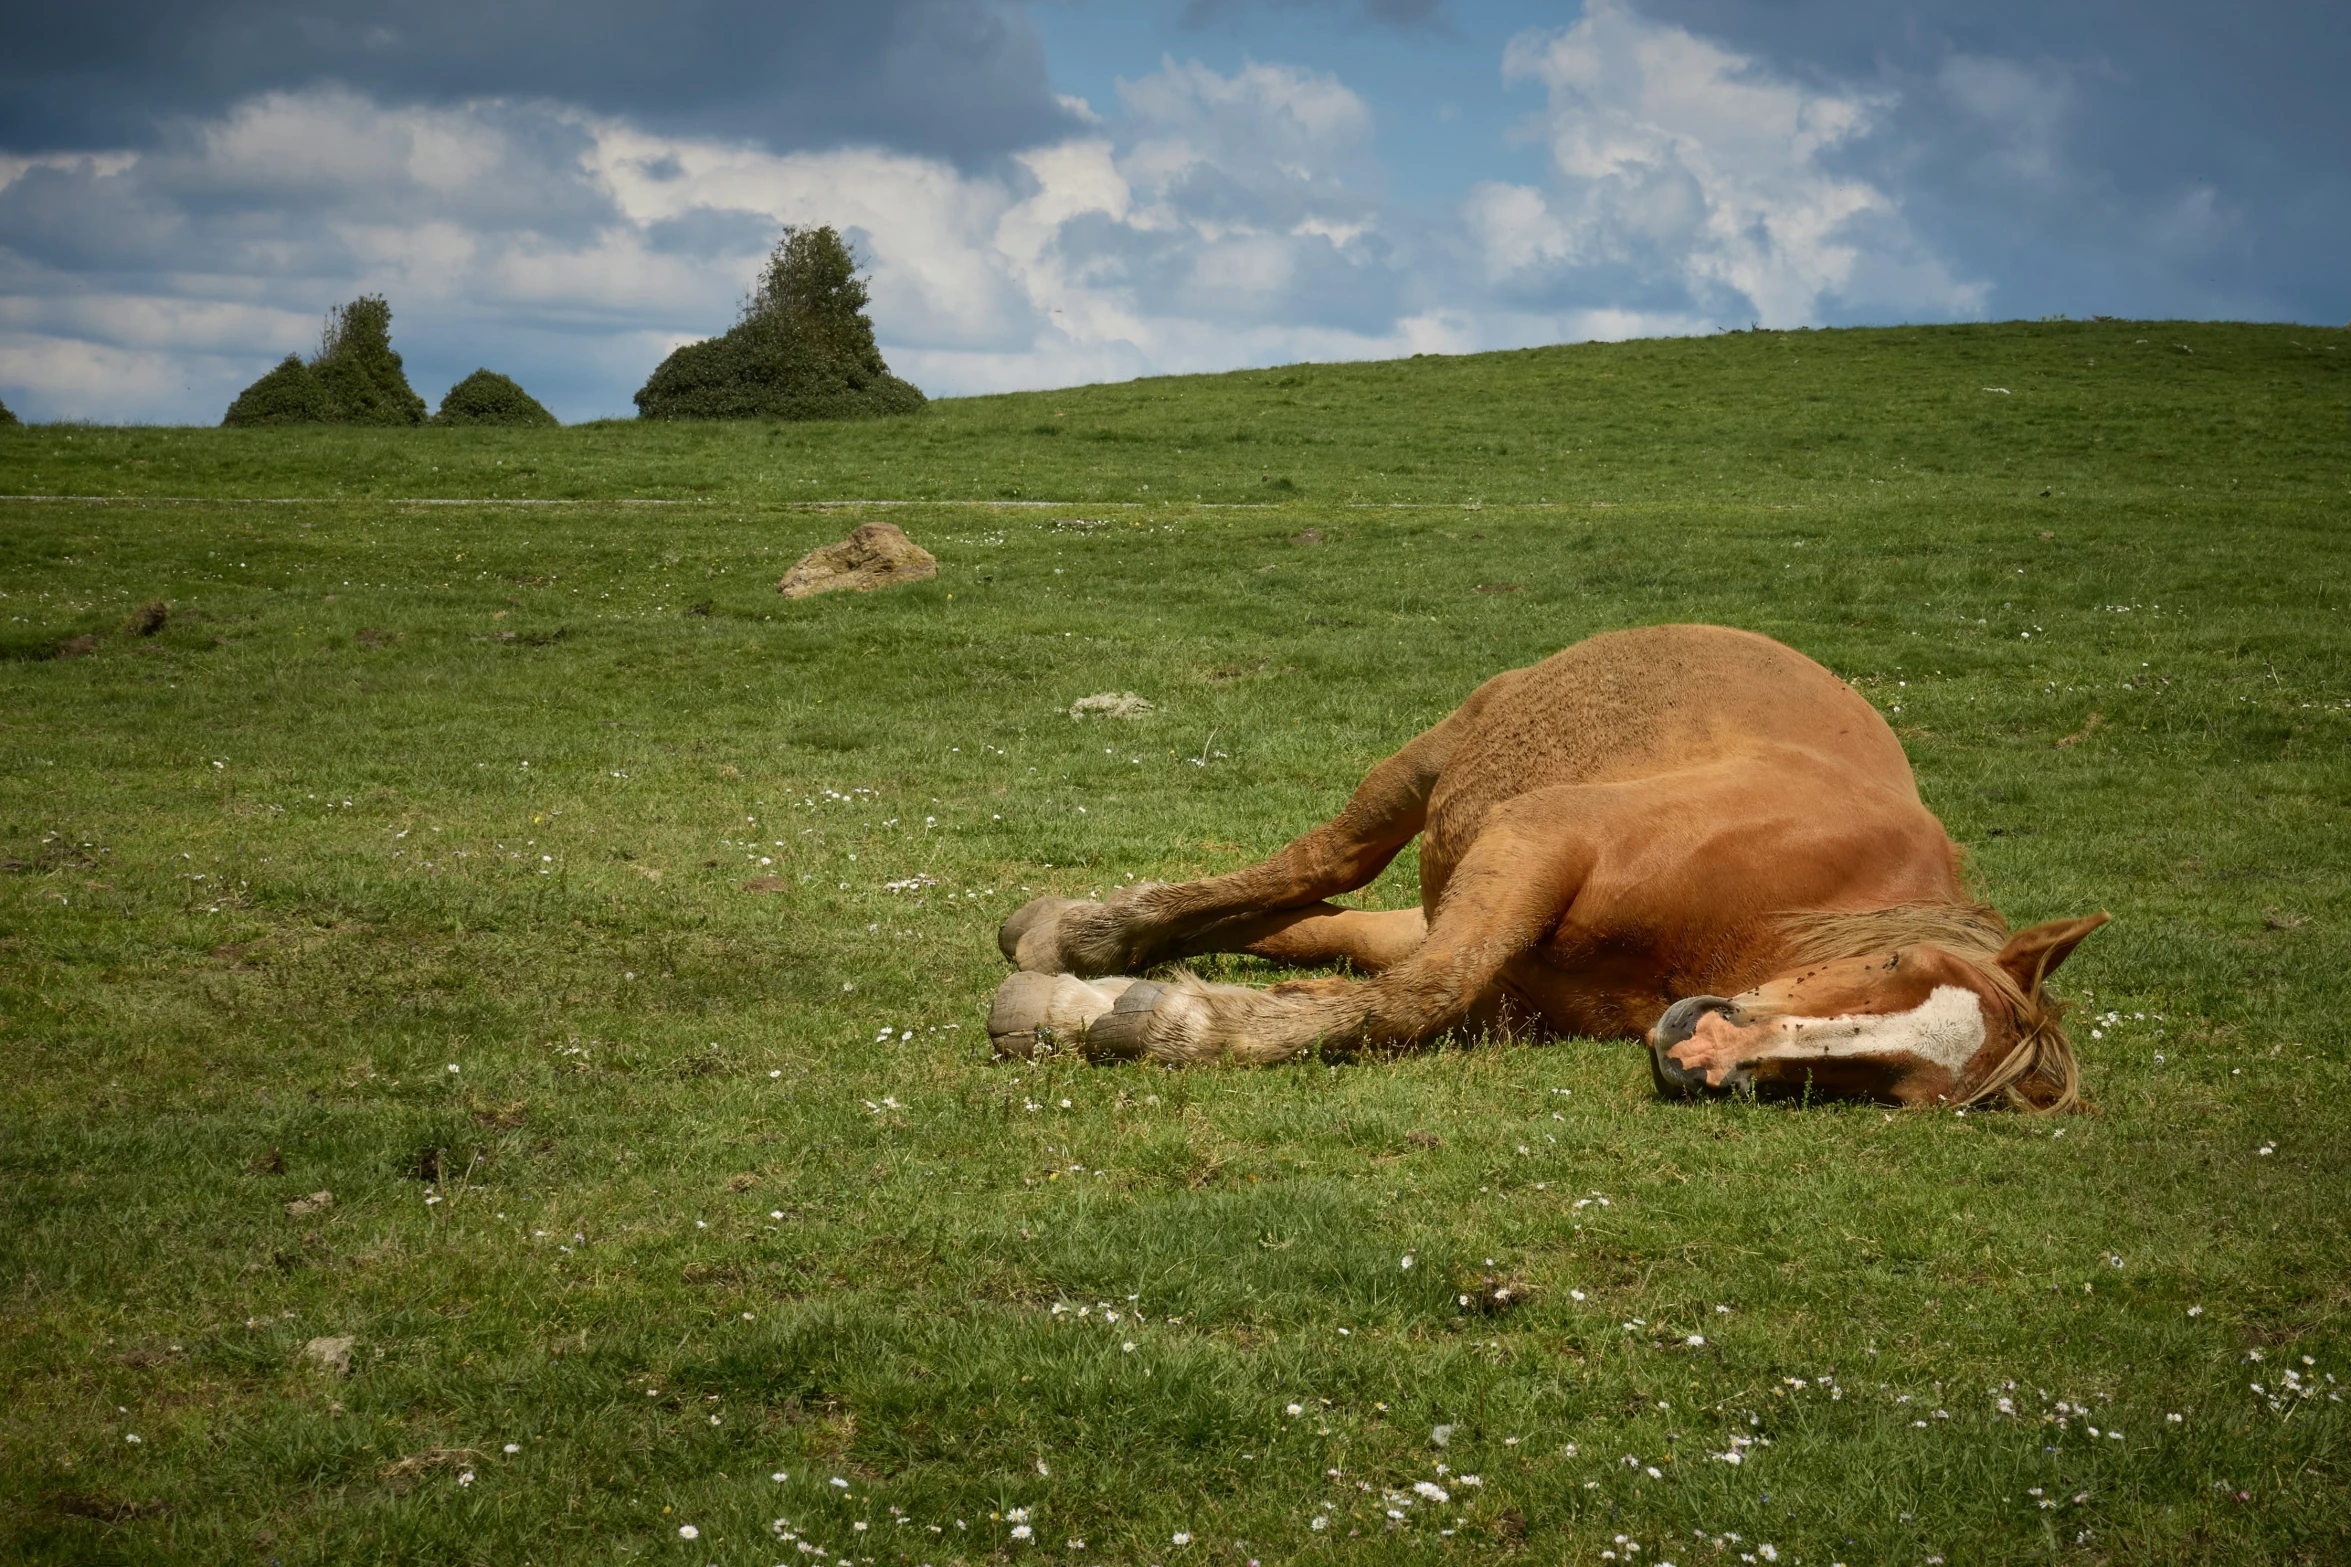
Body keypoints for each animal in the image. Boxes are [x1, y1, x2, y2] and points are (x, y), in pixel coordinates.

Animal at [992, 620, 2115, 1108]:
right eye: (1892, 967)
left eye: (1902, 1088)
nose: (1701, 1053)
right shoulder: (1538, 836)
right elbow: (1420, 990)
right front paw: (1166, 1021)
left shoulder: (1509, 964)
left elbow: (1386, 984)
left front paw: (1120, 1007)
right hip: (1430, 770)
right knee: (1320, 862)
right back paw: (1086, 935)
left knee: (1313, 914)